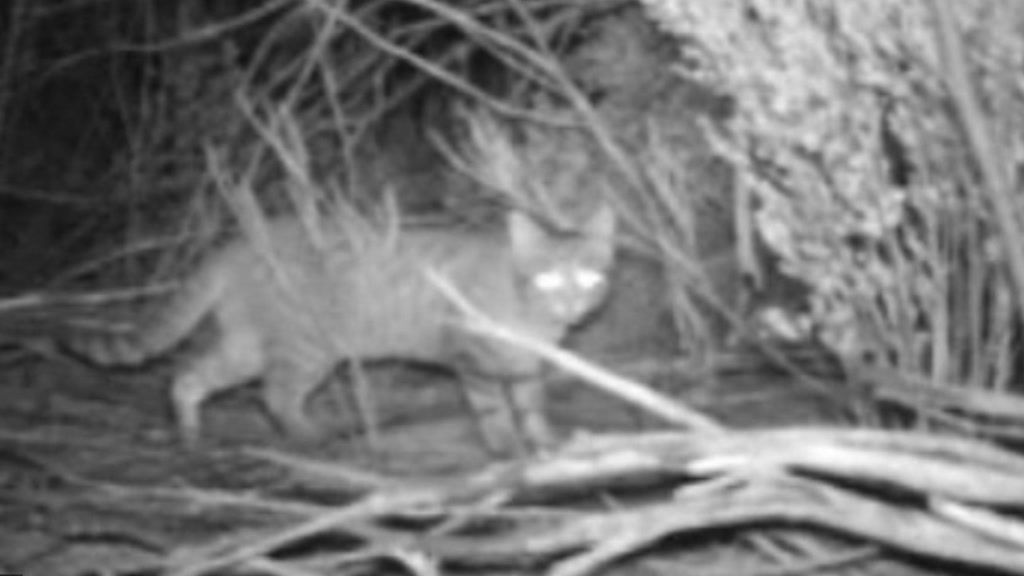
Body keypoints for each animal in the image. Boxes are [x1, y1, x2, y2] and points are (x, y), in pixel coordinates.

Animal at [70, 203, 614, 450]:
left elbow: (531, 405)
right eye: (548, 278)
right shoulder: (470, 356)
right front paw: (507, 449)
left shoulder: (524, 366)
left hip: (248, 345)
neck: (530, 314)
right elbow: (493, 410)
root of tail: (239, 242)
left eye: (589, 277)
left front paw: (545, 442)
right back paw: (311, 435)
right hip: (308, 348)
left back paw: (189, 434)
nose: (573, 305)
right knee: (276, 396)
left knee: (188, 377)